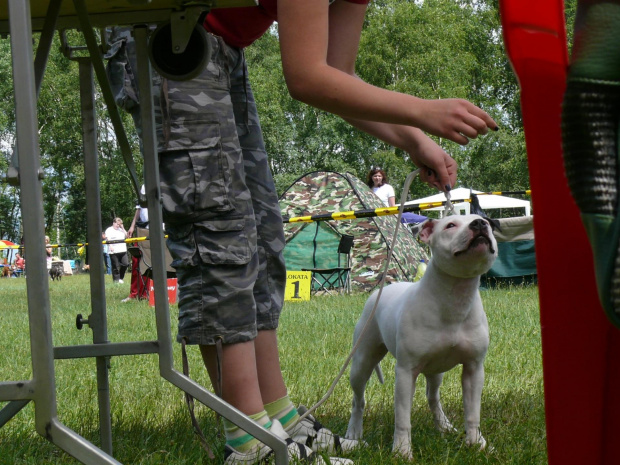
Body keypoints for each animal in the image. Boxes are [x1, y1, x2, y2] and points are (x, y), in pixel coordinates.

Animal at [344, 215, 498, 460]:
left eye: (487, 223)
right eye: (450, 225)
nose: (479, 224)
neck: (455, 297)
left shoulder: (474, 369)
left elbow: (473, 412)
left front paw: (477, 443)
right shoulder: (406, 372)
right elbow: (402, 418)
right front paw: (401, 451)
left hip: (436, 371)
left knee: (433, 397)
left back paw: (444, 426)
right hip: (361, 362)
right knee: (358, 399)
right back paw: (354, 433)